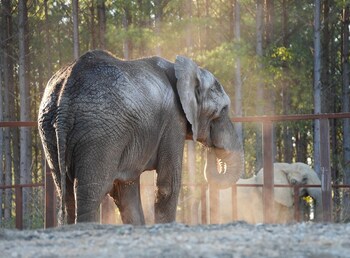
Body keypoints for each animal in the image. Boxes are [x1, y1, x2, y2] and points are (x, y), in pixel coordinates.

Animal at [38, 49, 243, 225]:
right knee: (91, 191)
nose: (211, 146)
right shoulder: (173, 119)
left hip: (49, 129)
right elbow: (167, 186)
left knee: (65, 191)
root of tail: (65, 93)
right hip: (98, 133)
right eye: (222, 110)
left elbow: (126, 190)